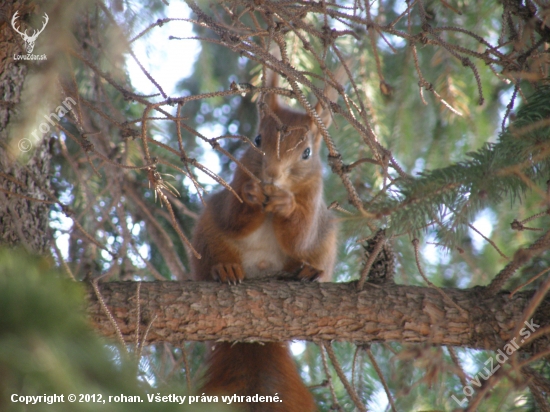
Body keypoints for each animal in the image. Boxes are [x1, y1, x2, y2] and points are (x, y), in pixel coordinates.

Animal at [194, 74, 340, 412]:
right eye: (258, 140)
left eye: (306, 153)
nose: (271, 175)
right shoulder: (235, 183)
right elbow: (235, 217)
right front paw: (251, 194)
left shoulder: (313, 199)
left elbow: (299, 236)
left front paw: (286, 204)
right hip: (206, 232)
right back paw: (224, 269)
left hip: (327, 239)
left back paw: (310, 272)